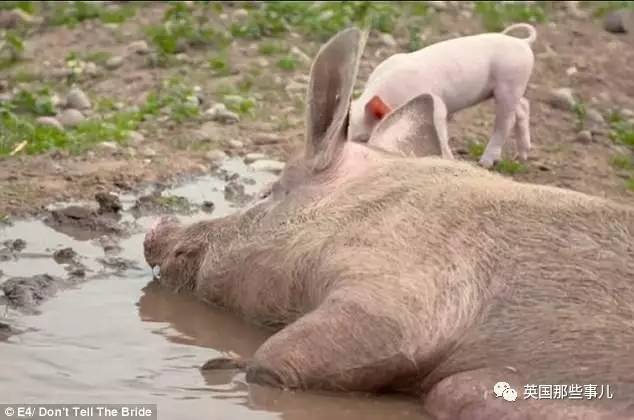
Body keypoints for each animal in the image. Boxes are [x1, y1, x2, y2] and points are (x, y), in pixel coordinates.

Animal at [348, 23, 537, 168]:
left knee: (506, 121)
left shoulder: (437, 104)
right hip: (508, 88)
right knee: (524, 105)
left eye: (363, 139)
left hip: (510, 83)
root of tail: (522, 42)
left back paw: (486, 163)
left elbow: (440, 130)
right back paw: (521, 158)